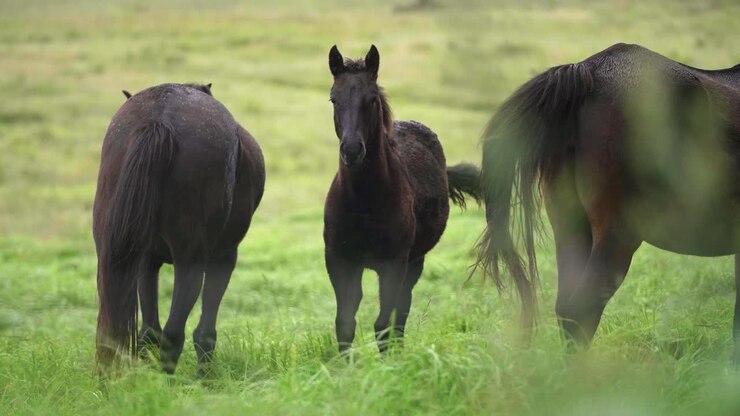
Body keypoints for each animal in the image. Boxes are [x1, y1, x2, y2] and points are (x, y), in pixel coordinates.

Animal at [93, 83, 265, 376]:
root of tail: (159, 119)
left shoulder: (146, 262)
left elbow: (148, 329)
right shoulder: (223, 258)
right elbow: (205, 331)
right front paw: (206, 378)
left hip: (114, 254)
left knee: (132, 331)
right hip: (191, 261)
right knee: (174, 333)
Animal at [324, 45, 482, 353]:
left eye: (372, 99)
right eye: (333, 99)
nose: (352, 150)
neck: (363, 202)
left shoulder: (394, 263)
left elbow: (384, 324)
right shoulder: (339, 260)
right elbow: (345, 324)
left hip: (415, 261)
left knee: (401, 312)